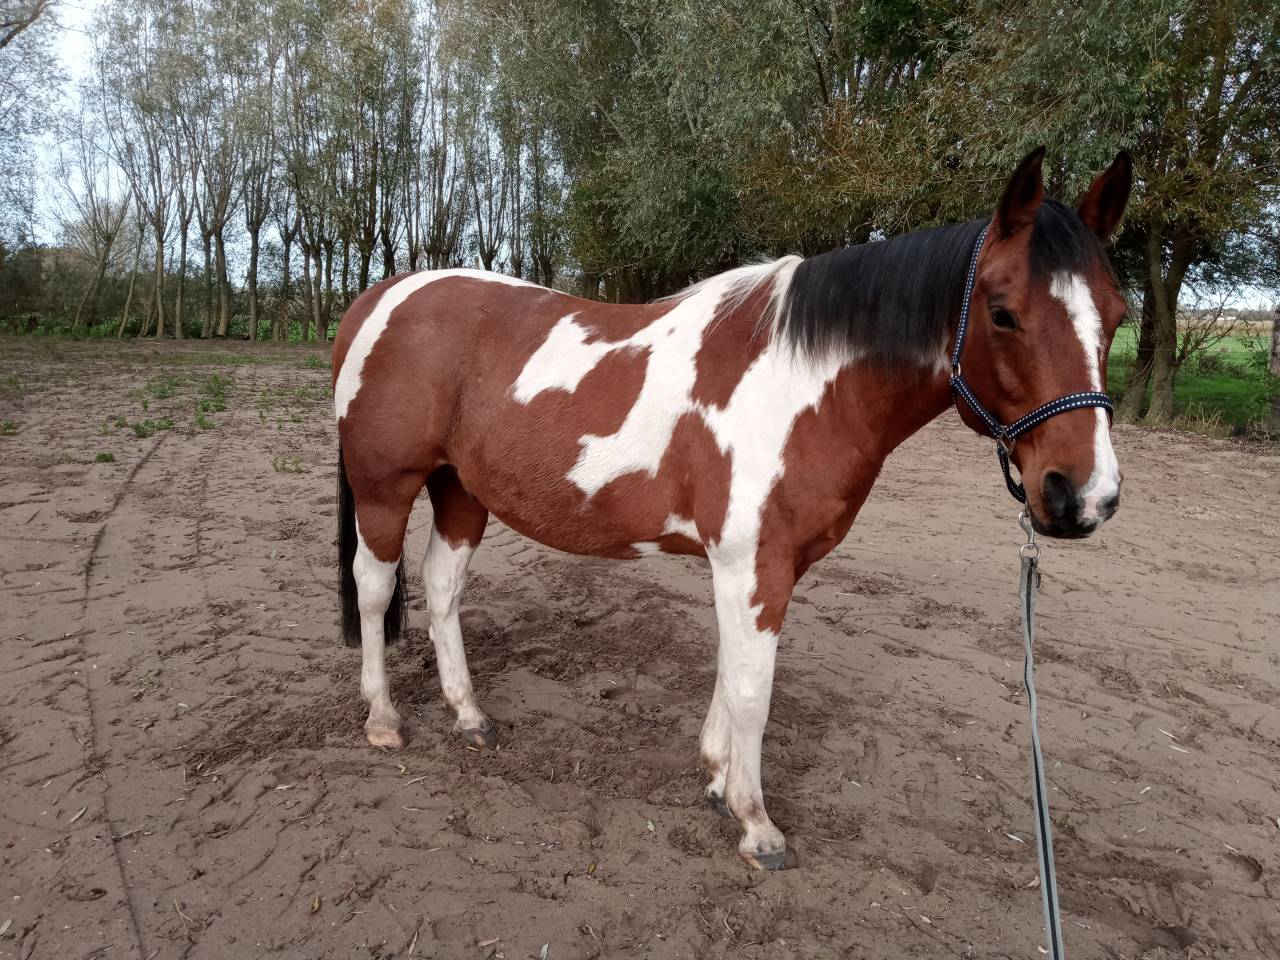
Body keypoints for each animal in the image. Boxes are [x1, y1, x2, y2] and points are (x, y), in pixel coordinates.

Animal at [330, 147, 1132, 870]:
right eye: (1002, 313)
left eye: (1117, 314)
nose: (1082, 496)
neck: (803, 386)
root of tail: (381, 298)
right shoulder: (754, 564)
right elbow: (753, 690)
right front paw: (756, 824)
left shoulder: (754, 567)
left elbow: (730, 671)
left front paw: (718, 779)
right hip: (385, 489)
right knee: (374, 589)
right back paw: (384, 719)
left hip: (459, 490)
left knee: (441, 587)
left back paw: (468, 715)